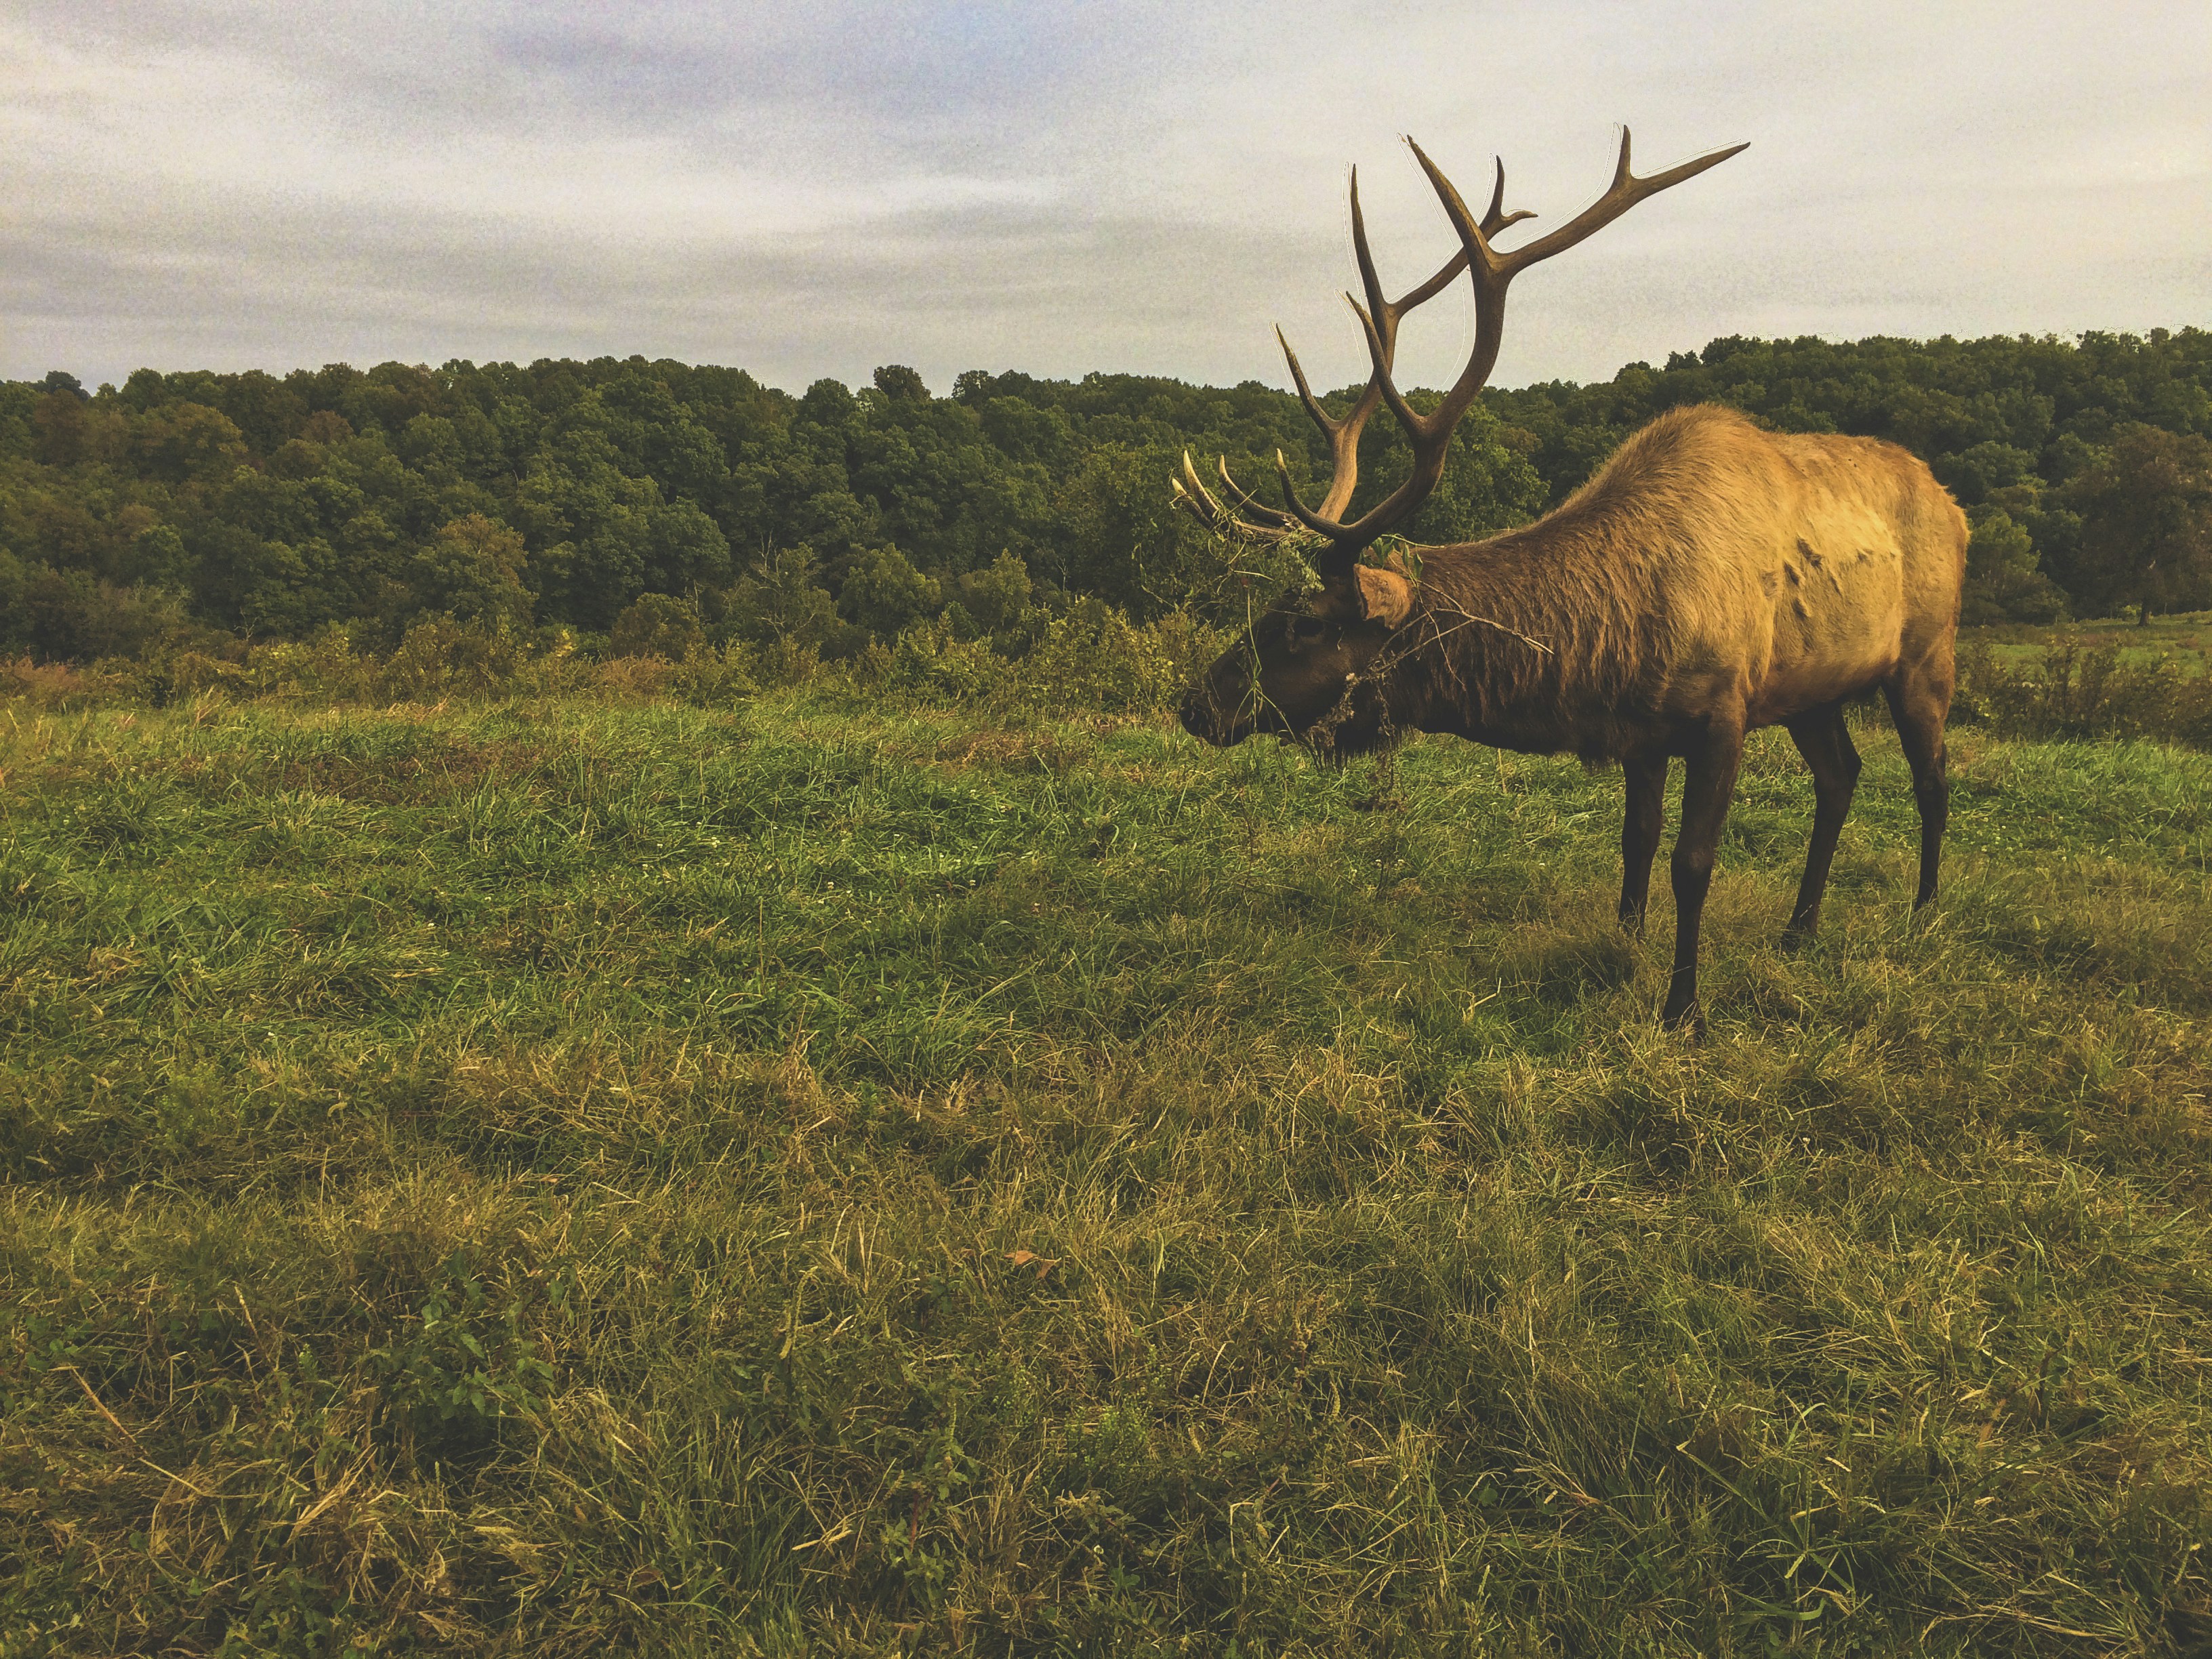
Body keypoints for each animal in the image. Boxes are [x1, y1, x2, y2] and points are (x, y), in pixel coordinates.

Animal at [1174, 131, 1968, 1030]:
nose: (1194, 703)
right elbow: (1636, 841)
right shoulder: (1647, 730)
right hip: (1813, 685)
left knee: (1932, 780)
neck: (1613, 647)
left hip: (1925, 655)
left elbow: (1693, 860)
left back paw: (1923, 913)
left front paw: (1683, 1008)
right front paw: (1625, 945)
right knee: (1841, 779)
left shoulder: (1722, 709)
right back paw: (1799, 929)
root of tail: (1954, 503)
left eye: (1307, 622)